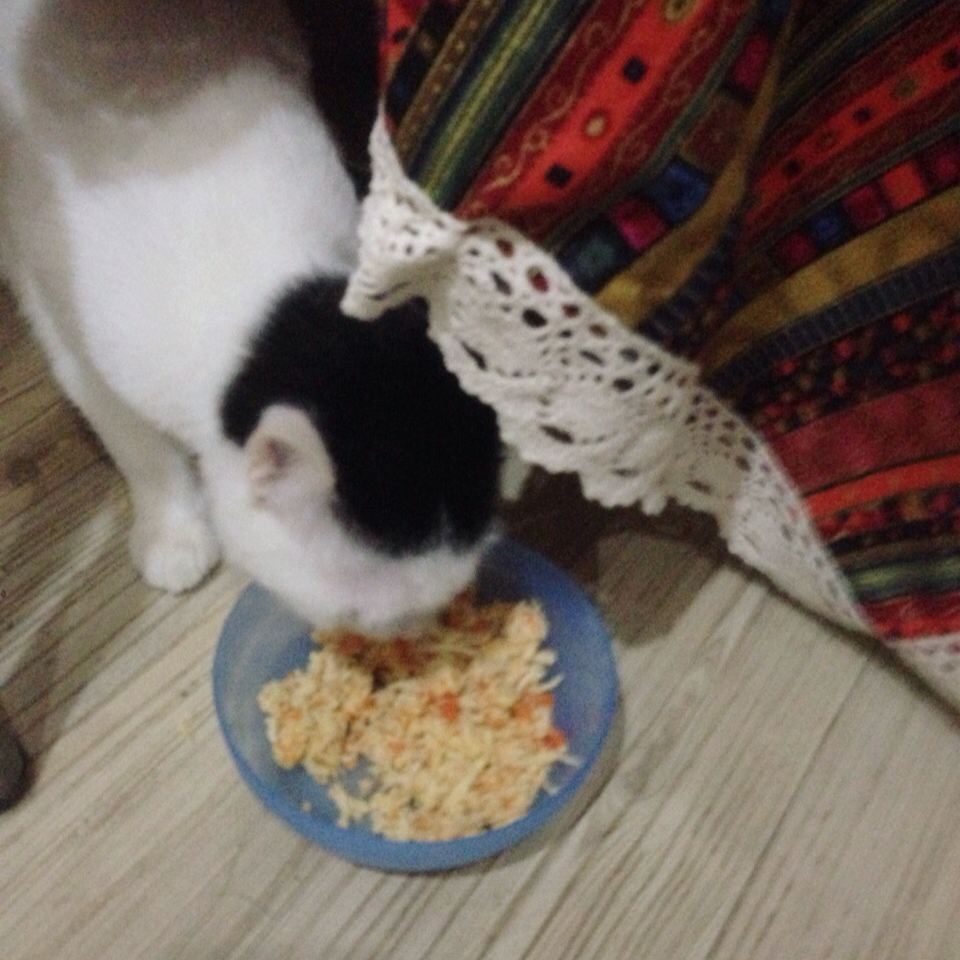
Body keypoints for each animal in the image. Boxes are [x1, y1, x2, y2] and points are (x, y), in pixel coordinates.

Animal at [0, 0, 502, 634]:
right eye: (369, 618)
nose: (416, 638)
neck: (262, 299)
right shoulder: (72, 337)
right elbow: (136, 442)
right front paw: (173, 530)